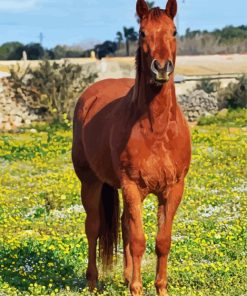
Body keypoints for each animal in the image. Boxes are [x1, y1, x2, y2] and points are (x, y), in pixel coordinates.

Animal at [72, 0, 192, 294]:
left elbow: (162, 241)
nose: (161, 67)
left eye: (173, 31)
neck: (157, 129)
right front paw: (137, 288)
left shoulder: (173, 189)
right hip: (90, 182)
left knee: (124, 224)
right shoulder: (131, 186)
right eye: (142, 33)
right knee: (93, 227)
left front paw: (159, 287)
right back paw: (92, 282)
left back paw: (126, 276)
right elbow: (138, 240)